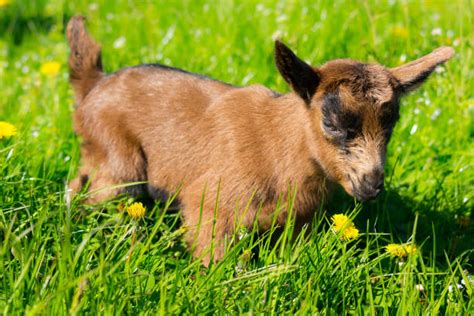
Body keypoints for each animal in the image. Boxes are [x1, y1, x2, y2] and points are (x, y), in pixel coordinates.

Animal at [65, 16, 454, 264]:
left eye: (393, 124)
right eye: (331, 122)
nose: (371, 184)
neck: (280, 150)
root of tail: (93, 84)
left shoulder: (297, 224)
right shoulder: (209, 207)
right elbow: (220, 266)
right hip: (120, 164)